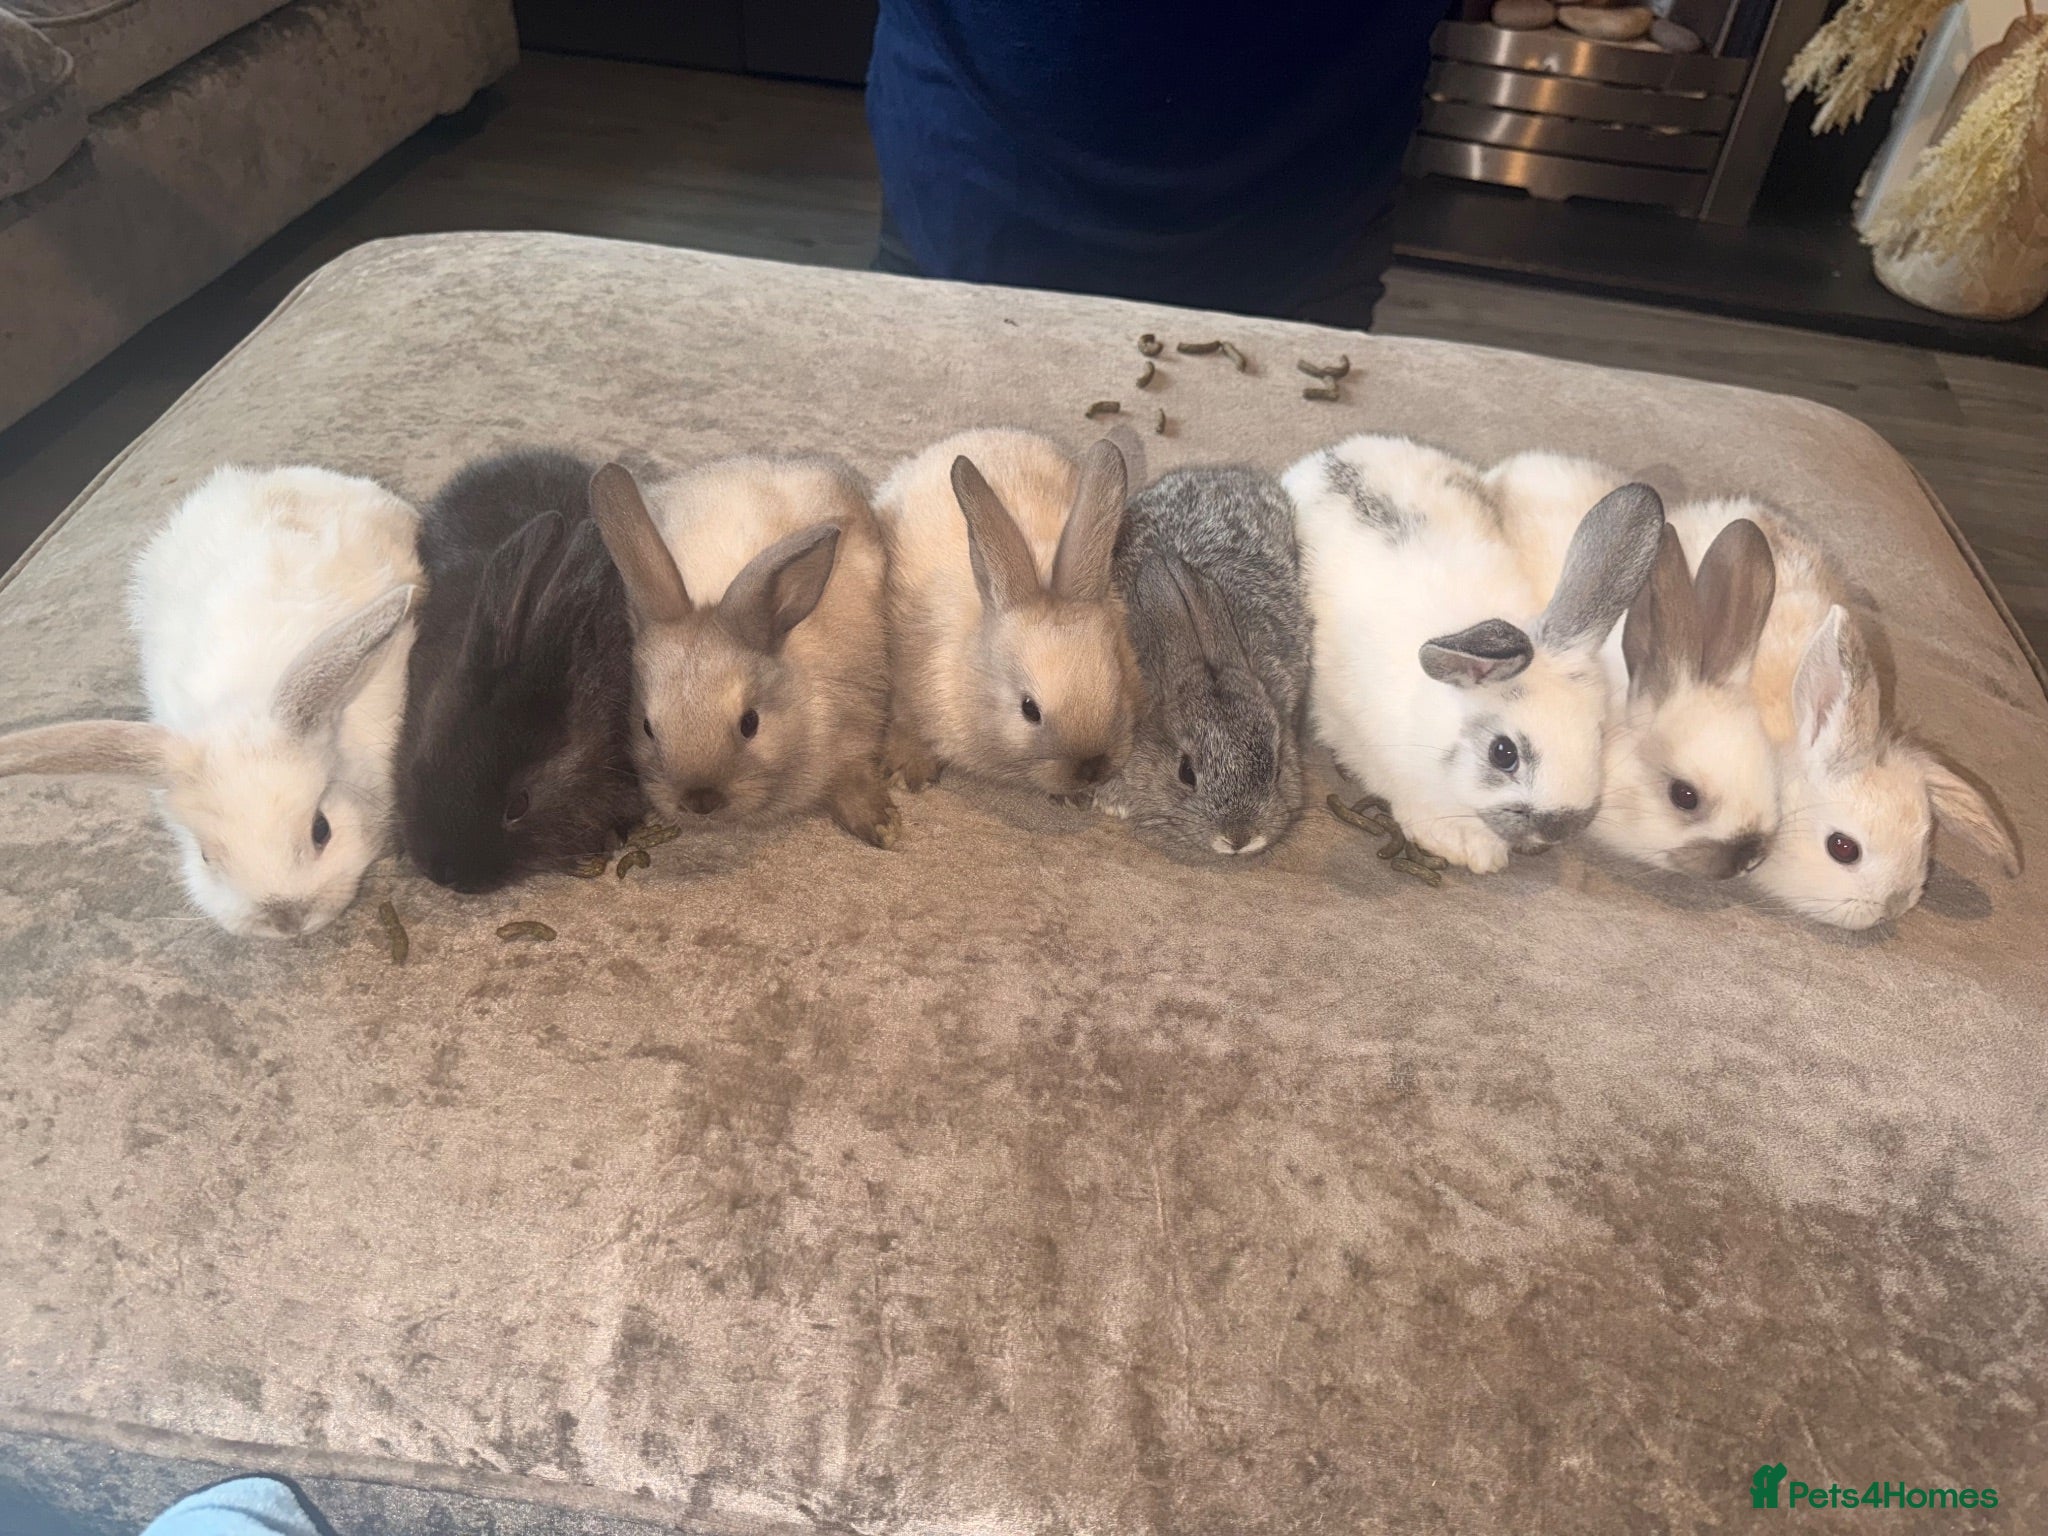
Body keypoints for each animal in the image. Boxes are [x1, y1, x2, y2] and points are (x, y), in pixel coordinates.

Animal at [589, 455, 896, 846]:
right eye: (647, 727)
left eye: (750, 723)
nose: (700, 801)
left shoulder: (857, 728)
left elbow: (854, 776)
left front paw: (882, 827)